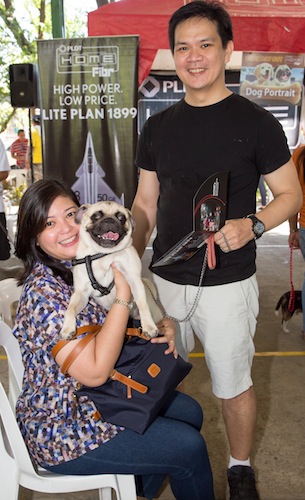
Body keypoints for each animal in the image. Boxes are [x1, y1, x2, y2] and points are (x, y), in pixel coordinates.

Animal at [60, 200, 158, 340]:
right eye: (96, 216)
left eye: (121, 218)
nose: (110, 220)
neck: (103, 255)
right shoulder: (81, 293)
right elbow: (70, 309)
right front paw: (67, 328)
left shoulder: (135, 281)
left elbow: (142, 303)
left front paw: (149, 326)